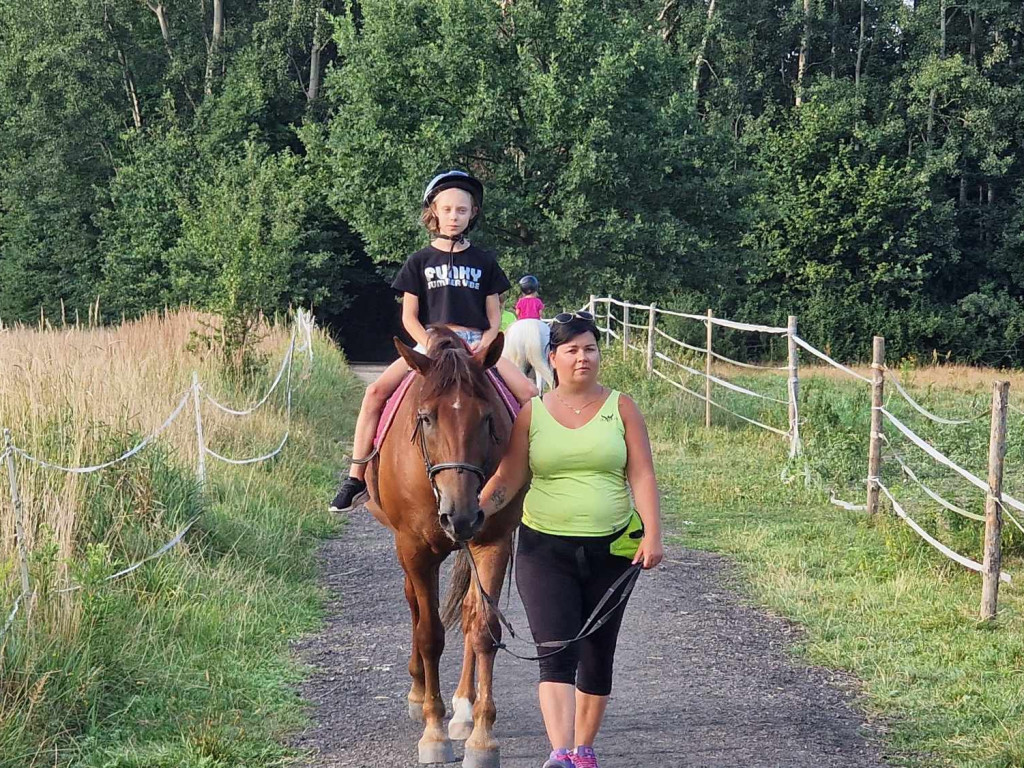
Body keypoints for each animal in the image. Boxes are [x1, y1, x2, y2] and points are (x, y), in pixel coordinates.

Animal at [364, 329, 524, 768]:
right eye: (425, 418)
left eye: (487, 418)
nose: (461, 515)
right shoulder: (414, 550)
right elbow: (429, 633)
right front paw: (433, 731)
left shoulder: (492, 543)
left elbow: (484, 629)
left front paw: (482, 737)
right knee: (415, 607)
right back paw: (419, 694)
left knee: (469, 615)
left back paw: (464, 710)